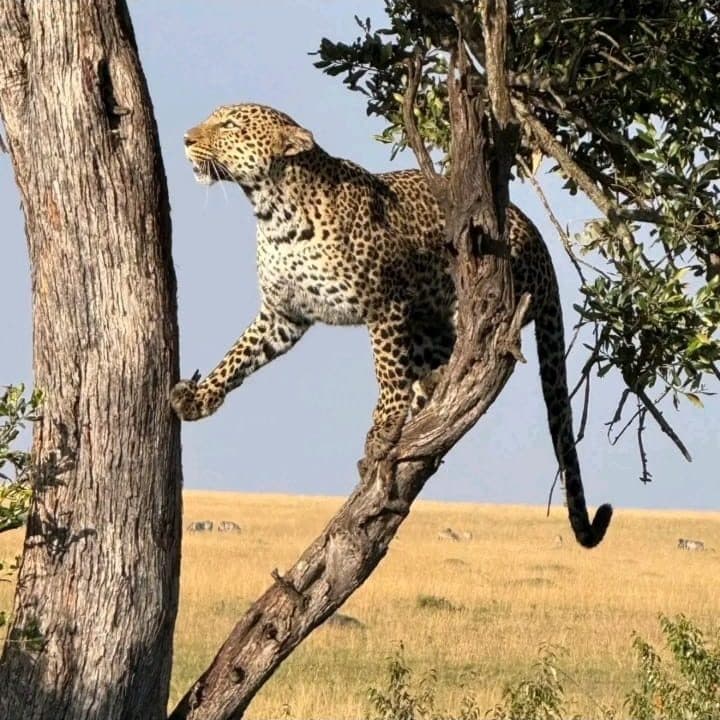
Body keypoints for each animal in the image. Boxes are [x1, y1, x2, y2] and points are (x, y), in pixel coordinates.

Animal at [170, 103, 612, 548]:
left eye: (230, 125)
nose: (186, 139)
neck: (274, 214)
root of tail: (538, 239)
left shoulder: (386, 303)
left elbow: (387, 372)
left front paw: (384, 424)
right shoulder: (283, 314)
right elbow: (239, 354)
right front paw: (199, 396)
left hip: (477, 297)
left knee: (473, 351)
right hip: (429, 326)